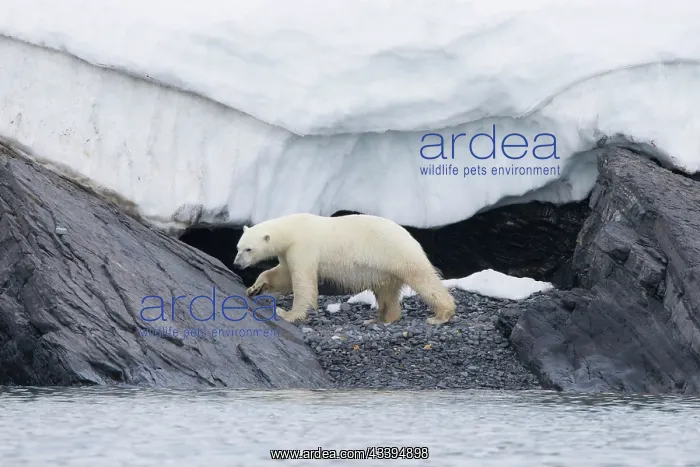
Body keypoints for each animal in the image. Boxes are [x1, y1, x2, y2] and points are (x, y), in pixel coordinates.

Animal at [233, 212, 455, 325]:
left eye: (249, 249)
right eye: (238, 247)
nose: (236, 264)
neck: (292, 229)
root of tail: (410, 236)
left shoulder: (303, 246)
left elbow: (302, 282)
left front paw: (287, 313)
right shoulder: (288, 252)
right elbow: (283, 275)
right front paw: (255, 288)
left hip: (396, 254)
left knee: (423, 279)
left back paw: (440, 315)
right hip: (384, 270)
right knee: (386, 292)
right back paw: (380, 319)